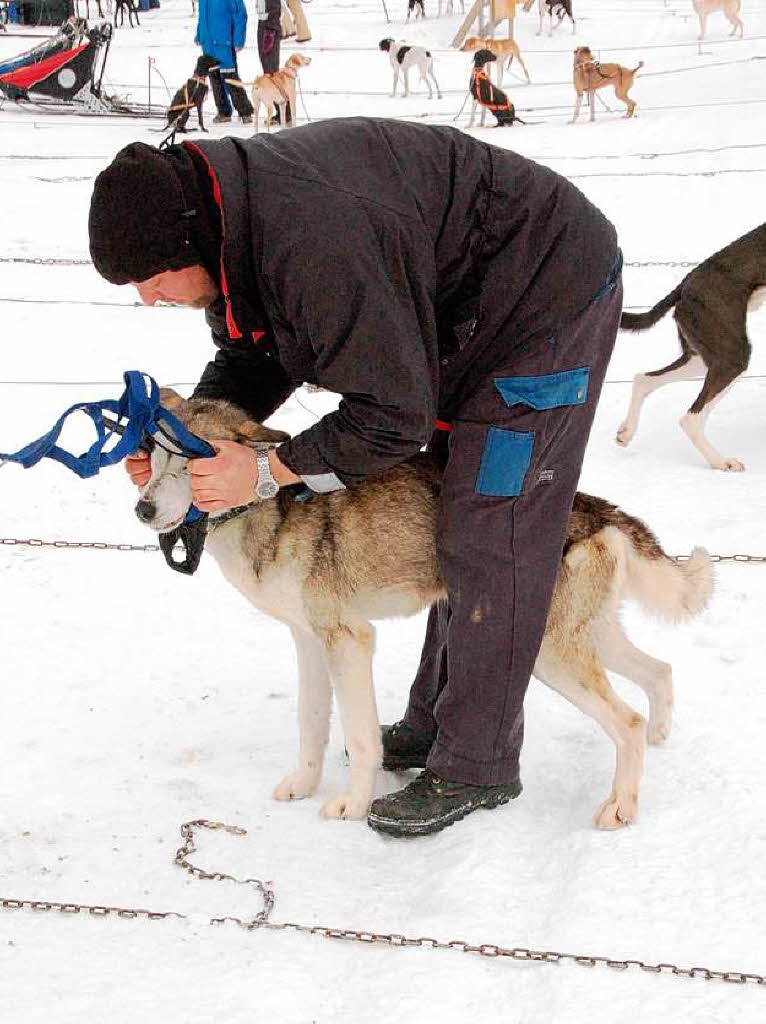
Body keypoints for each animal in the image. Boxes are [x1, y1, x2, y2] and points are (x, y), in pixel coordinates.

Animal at [614, 224, 766, 471]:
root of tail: (685, 285)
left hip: (701, 357)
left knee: (643, 379)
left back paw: (627, 432)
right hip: (732, 355)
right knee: (691, 418)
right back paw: (721, 461)